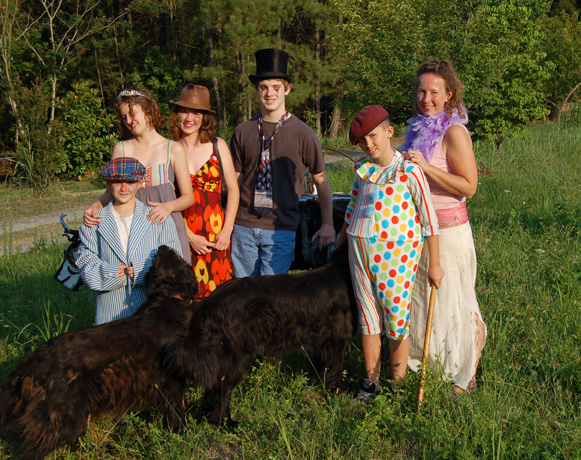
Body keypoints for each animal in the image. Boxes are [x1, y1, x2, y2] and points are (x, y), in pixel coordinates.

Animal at [0, 246, 198, 460]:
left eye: (158, 259)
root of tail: (31, 364)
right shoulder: (172, 382)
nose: (161, 247)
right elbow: (177, 411)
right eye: (176, 256)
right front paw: (183, 434)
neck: (167, 298)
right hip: (60, 418)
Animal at [162, 243, 357, 425]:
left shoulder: (323, 345)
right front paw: (335, 398)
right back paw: (225, 423)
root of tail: (209, 302)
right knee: (223, 388)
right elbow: (334, 373)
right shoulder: (336, 342)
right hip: (239, 354)